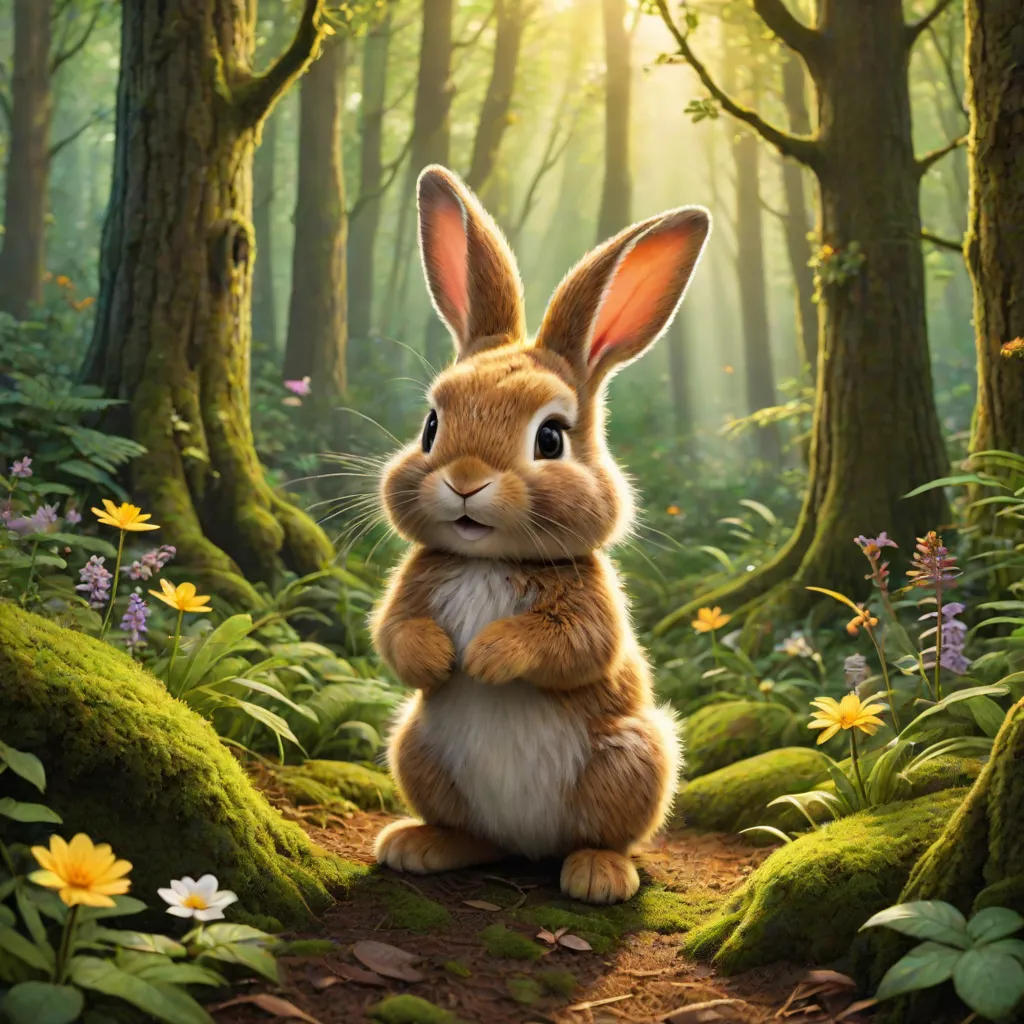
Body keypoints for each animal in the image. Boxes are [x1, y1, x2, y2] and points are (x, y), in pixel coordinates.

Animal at [371, 165, 710, 904]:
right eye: (431, 426)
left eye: (550, 438)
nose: (465, 481)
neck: (485, 561)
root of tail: (525, 846)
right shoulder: (412, 587)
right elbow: (393, 635)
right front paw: (441, 658)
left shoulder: (592, 605)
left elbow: (576, 646)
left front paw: (485, 657)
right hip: (415, 747)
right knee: (474, 835)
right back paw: (421, 845)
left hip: (632, 756)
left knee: (601, 836)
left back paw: (598, 874)